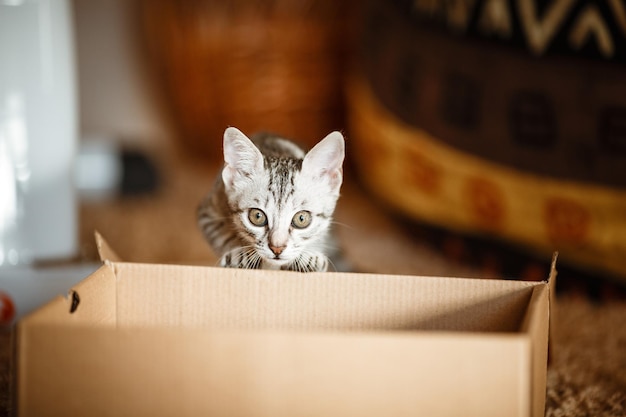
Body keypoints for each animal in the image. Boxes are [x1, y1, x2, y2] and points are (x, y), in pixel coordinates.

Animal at [197, 125, 344, 272]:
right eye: (257, 216)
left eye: (302, 218)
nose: (277, 248)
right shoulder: (207, 213)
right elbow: (221, 236)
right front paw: (239, 257)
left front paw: (308, 260)